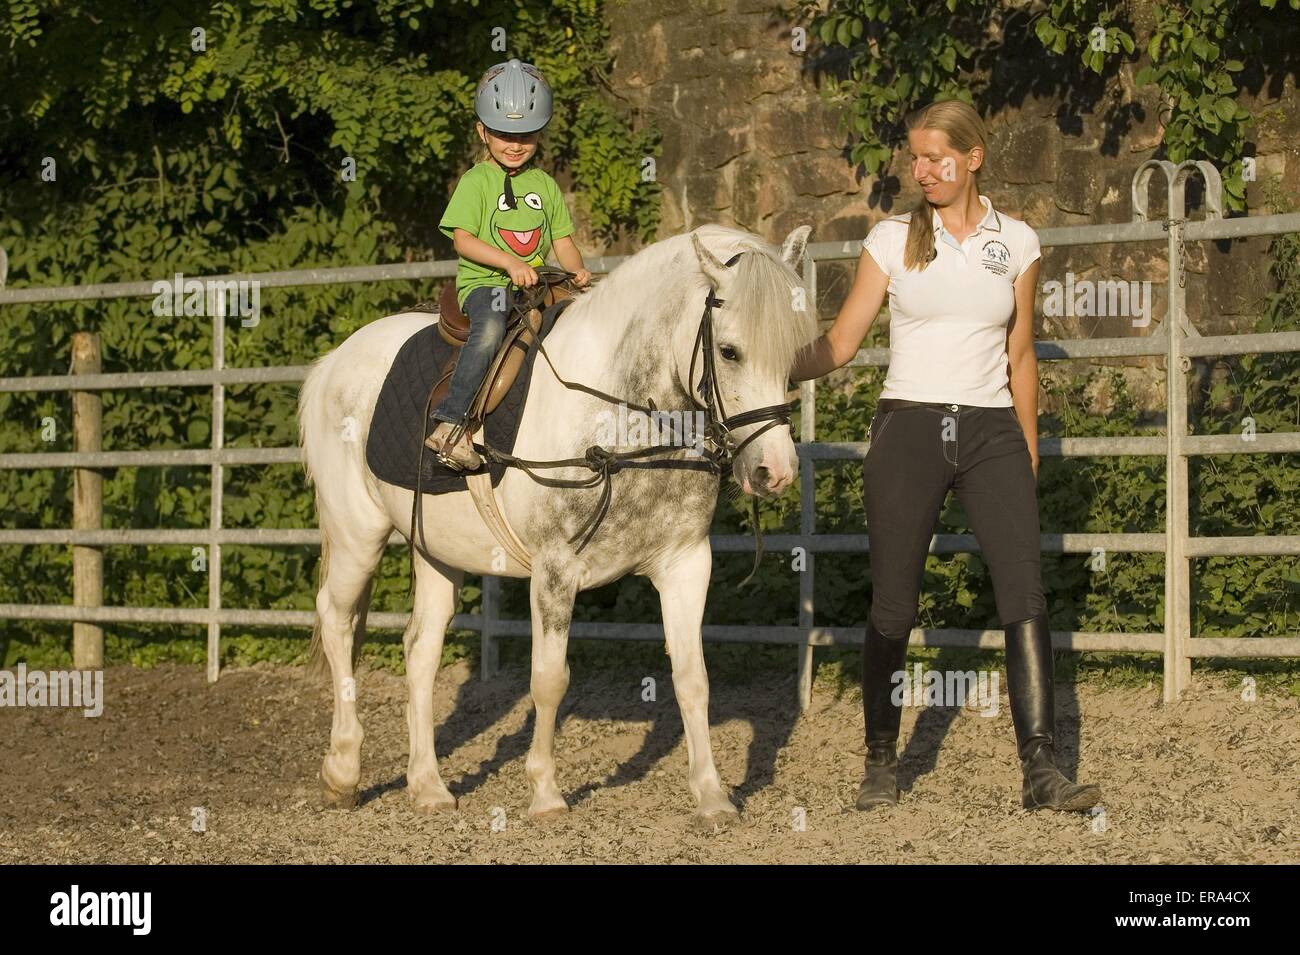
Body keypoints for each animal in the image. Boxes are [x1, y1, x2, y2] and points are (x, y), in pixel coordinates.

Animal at [299, 223, 816, 821]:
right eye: (729, 351)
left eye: (794, 352)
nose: (773, 471)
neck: (620, 417)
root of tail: (332, 363)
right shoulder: (555, 571)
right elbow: (549, 680)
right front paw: (545, 792)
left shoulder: (686, 564)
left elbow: (693, 679)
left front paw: (711, 795)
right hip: (357, 537)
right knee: (336, 621)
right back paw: (342, 771)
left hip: (435, 550)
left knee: (420, 649)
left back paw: (427, 784)